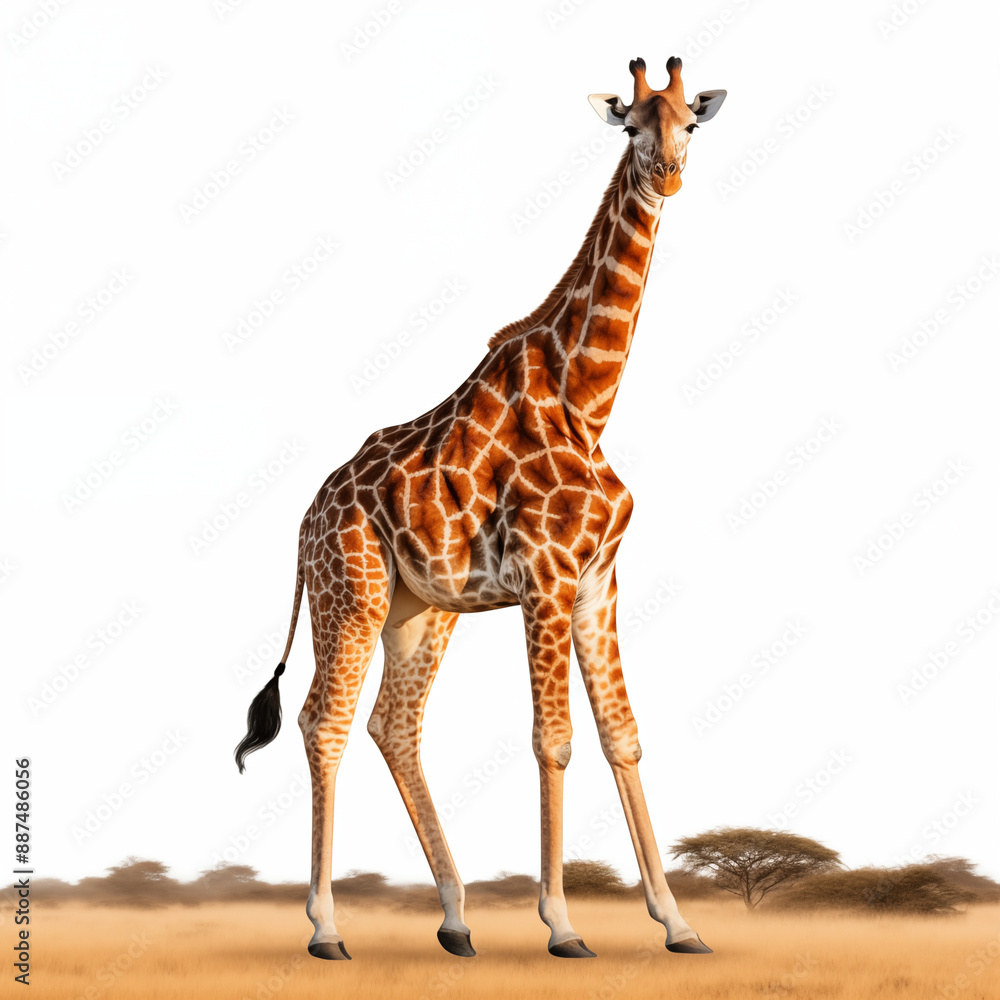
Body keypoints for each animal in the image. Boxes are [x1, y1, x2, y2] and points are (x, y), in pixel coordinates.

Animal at [235, 55, 727, 961]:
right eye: (631, 125)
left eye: (689, 124)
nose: (669, 174)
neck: (589, 399)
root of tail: (306, 518)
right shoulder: (547, 577)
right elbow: (553, 741)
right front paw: (563, 926)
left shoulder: (598, 581)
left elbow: (623, 737)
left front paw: (679, 924)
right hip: (349, 597)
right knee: (325, 722)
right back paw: (325, 927)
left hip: (420, 610)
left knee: (393, 726)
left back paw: (457, 920)